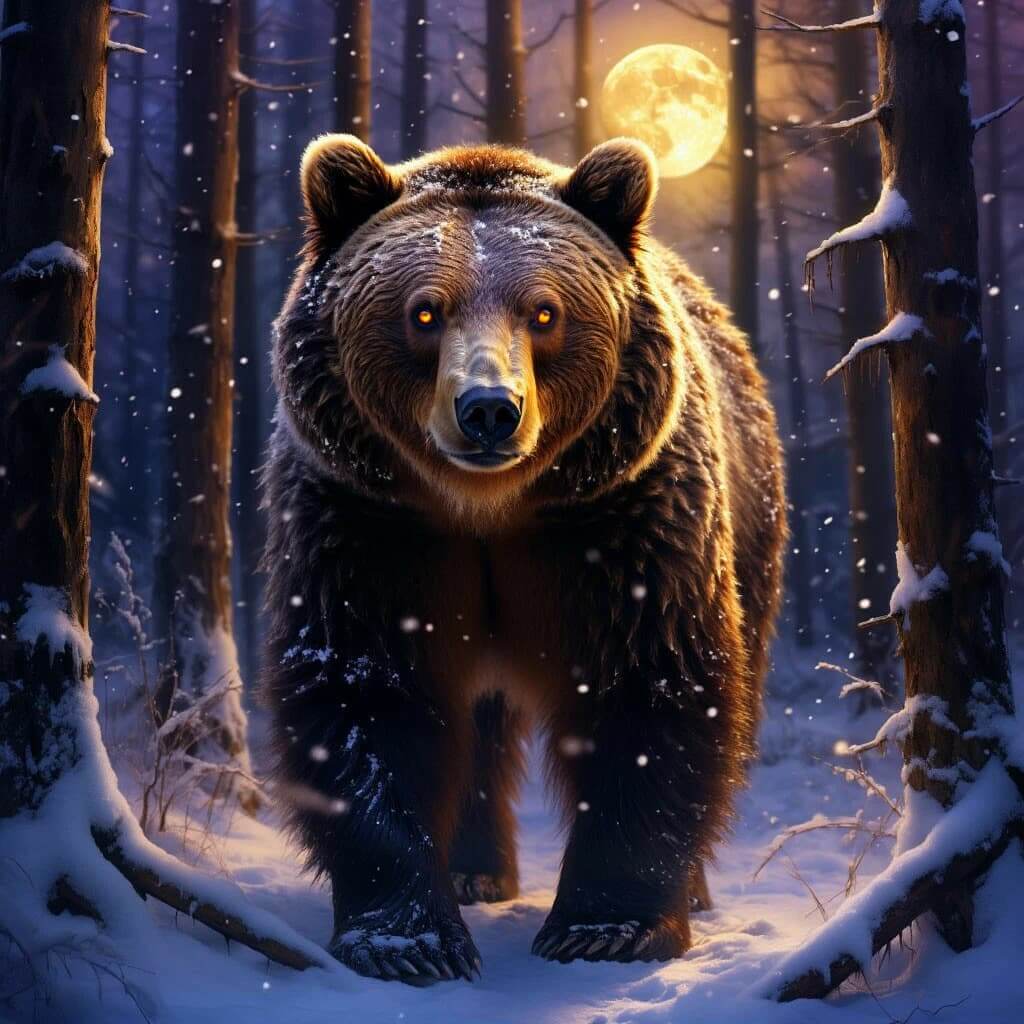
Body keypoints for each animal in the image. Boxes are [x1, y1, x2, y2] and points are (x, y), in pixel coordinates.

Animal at [261, 134, 786, 984]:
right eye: (425, 311)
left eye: (544, 311)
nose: (488, 410)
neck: (487, 509)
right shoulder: (369, 525)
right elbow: (365, 697)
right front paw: (408, 939)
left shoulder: (622, 522)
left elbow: (649, 686)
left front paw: (605, 927)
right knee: (478, 725)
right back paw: (475, 871)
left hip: (752, 526)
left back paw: (693, 890)